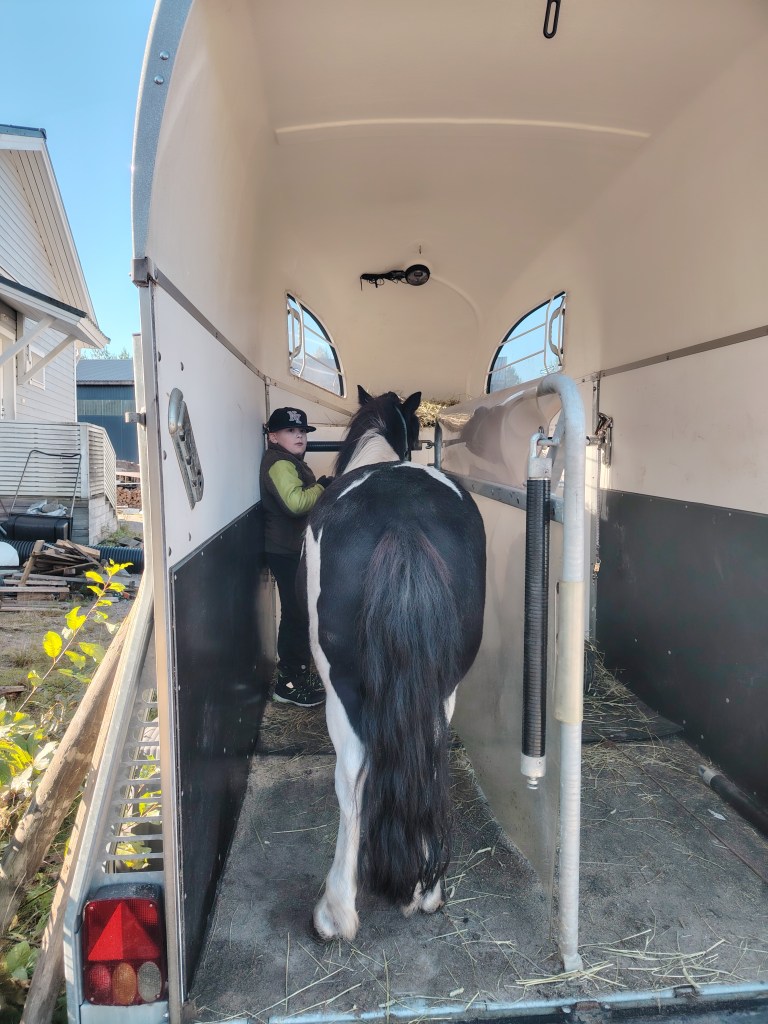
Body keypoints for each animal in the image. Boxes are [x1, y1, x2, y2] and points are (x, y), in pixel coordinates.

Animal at [299, 386, 486, 941]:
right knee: (429, 752)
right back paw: (427, 890)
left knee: (352, 775)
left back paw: (336, 911)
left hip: (343, 689)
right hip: (444, 684)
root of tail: (403, 523)